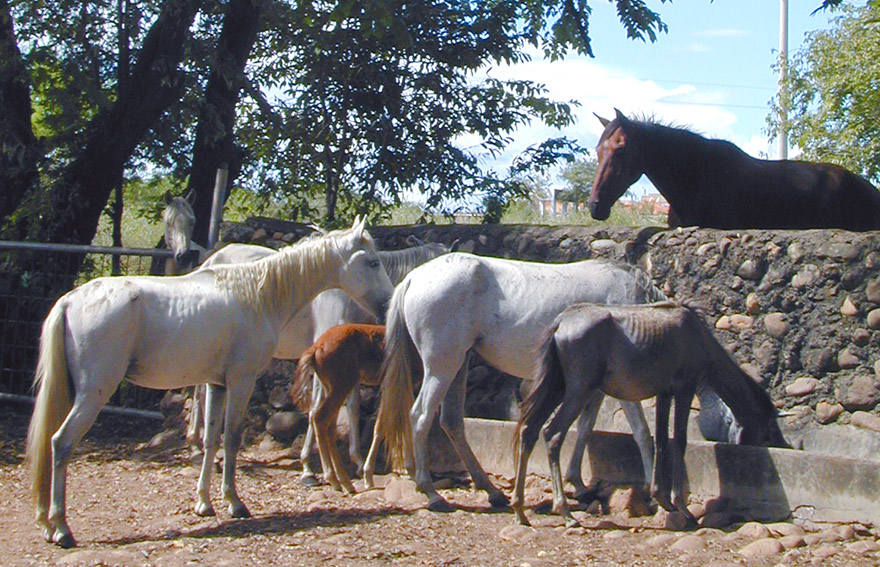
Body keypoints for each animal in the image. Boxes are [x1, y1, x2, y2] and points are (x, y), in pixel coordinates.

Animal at [290, 326, 384, 494]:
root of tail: (315, 348)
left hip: (331, 388)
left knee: (328, 425)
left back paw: (343, 482)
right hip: (342, 386)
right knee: (320, 418)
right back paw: (335, 479)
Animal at [512, 302, 788, 528]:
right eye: (768, 430)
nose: (780, 445)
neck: (698, 337)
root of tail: (561, 321)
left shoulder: (664, 393)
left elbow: (662, 441)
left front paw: (661, 497)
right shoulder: (684, 388)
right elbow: (680, 441)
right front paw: (682, 506)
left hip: (557, 387)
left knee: (529, 430)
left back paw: (520, 509)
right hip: (579, 390)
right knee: (553, 434)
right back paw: (564, 512)